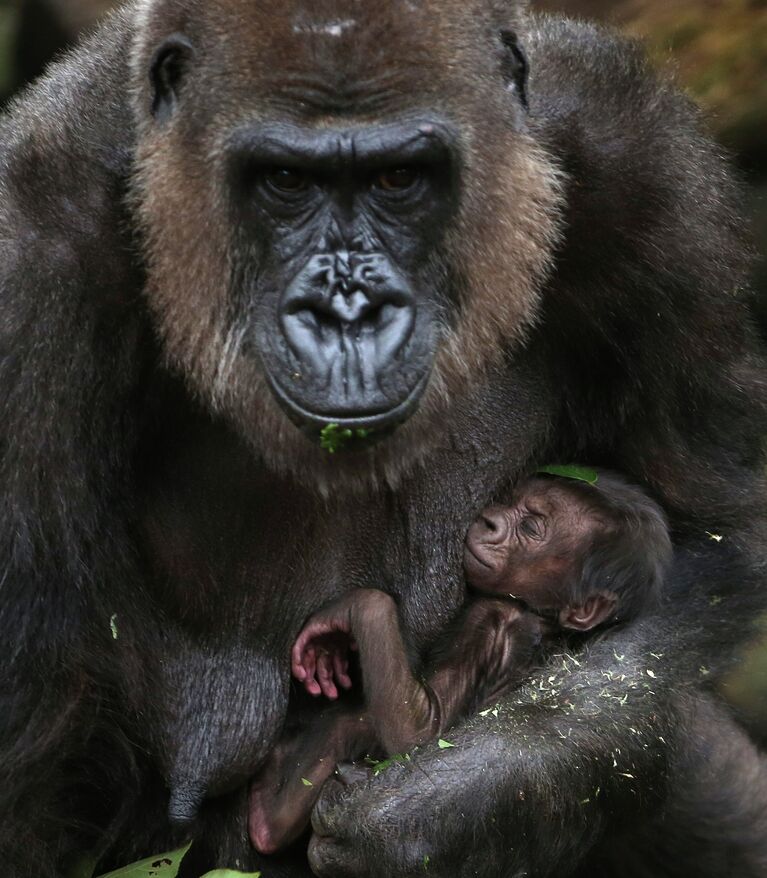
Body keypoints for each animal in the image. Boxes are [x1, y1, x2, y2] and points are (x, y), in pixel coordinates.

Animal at [249, 474, 668, 852]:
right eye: (508, 500)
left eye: (531, 526)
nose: (491, 520)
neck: (541, 614)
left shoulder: (489, 620)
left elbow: (422, 728)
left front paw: (357, 608)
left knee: (348, 725)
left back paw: (269, 819)